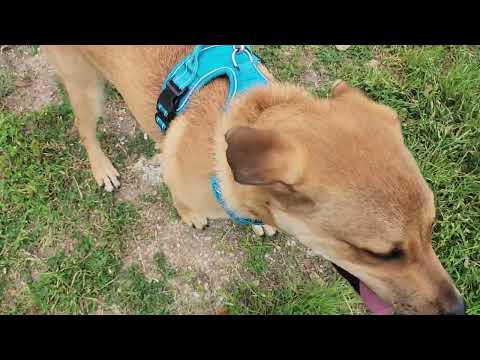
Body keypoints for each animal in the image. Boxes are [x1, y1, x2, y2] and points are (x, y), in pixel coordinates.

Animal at [44, 45, 464, 316]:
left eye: (432, 228)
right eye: (380, 254)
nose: (458, 309)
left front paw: (259, 225)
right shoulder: (177, 179)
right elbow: (181, 199)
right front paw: (190, 215)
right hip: (85, 87)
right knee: (84, 129)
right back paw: (103, 169)